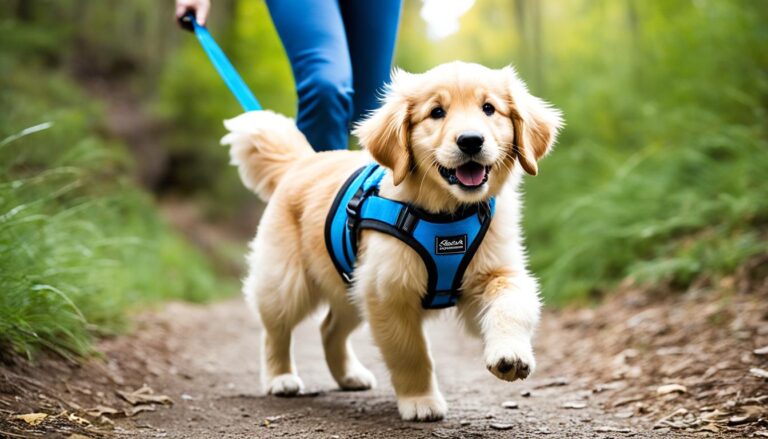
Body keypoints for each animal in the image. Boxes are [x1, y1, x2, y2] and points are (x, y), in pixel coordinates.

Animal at [219, 60, 560, 422]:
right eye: (437, 112)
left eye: (489, 109)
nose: (471, 140)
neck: (446, 215)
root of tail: (302, 161)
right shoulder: (387, 292)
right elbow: (410, 352)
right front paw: (420, 400)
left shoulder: (493, 272)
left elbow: (512, 304)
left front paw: (511, 354)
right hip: (287, 281)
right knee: (276, 329)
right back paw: (280, 377)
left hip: (350, 286)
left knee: (329, 328)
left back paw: (349, 375)